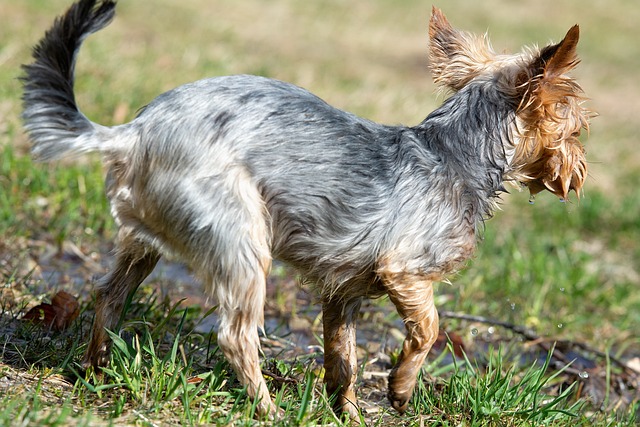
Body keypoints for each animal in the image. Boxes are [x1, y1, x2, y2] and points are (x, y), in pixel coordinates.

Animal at [21, 0, 592, 422]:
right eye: (577, 129)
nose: (581, 170)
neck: (455, 154)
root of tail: (134, 133)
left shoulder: (343, 292)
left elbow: (343, 360)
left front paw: (350, 414)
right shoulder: (405, 271)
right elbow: (428, 329)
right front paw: (401, 388)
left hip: (145, 240)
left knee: (109, 294)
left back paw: (96, 368)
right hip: (241, 237)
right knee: (236, 334)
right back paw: (267, 409)